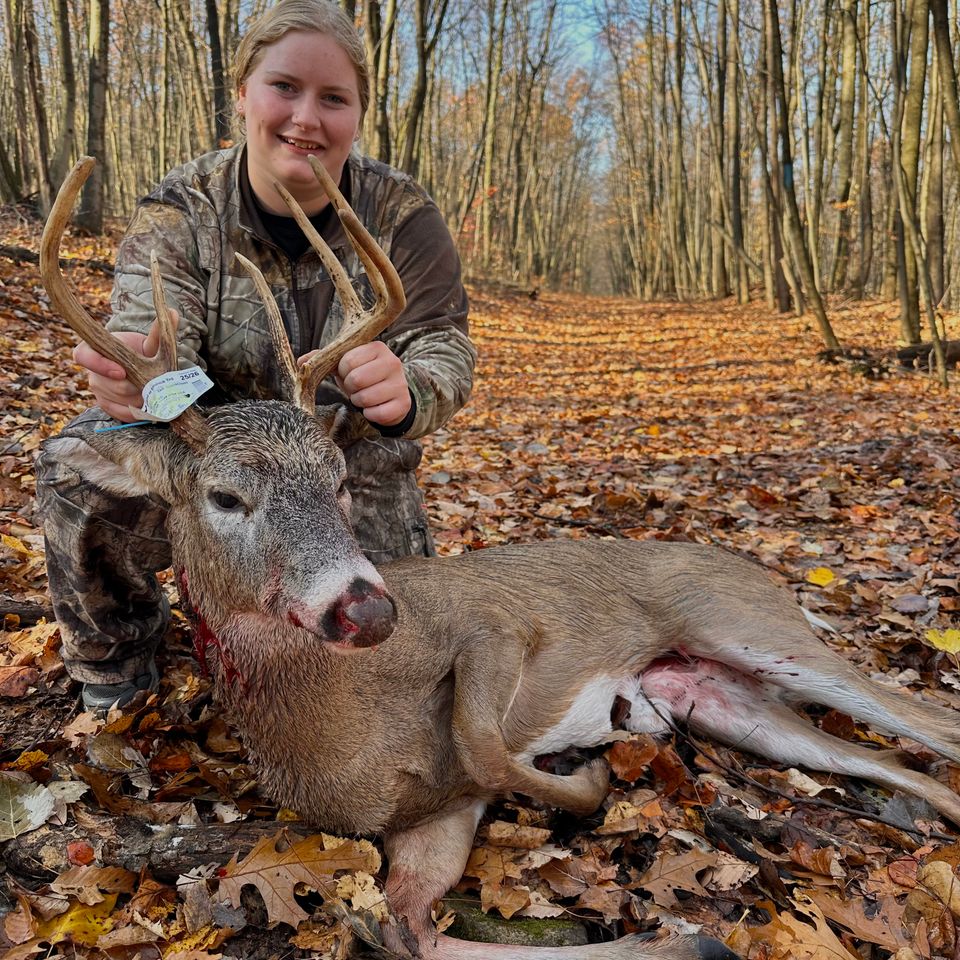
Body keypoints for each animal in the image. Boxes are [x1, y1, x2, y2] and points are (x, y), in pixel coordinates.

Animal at [40, 157, 960, 960]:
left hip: (748, 625)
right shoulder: (428, 820)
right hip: (732, 706)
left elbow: (483, 744)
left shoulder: (495, 628)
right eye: (225, 497)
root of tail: (755, 568)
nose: (368, 607)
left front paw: (588, 781)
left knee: (931, 720)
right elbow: (406, 927)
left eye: (338, 481)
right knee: (903, 763)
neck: (345, 727)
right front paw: (681, 934)